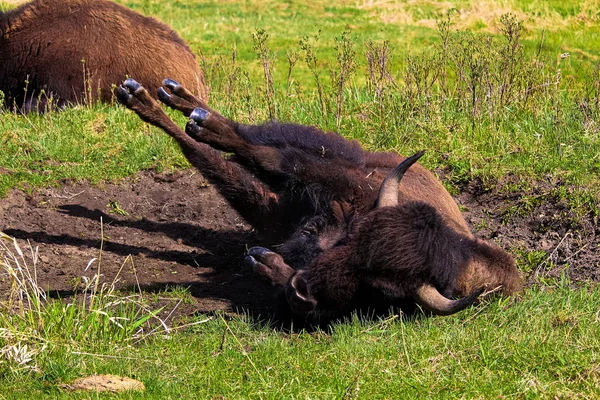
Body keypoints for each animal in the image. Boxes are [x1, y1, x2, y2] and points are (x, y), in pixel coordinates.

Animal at [116, 77, 520, 324]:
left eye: (381, 288)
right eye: (355, 239)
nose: (304, 286)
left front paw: (268, 265)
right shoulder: (336, 182)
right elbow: (275, 158)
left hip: (270, 208)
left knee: (210, 160)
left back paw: (151, 102)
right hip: (332, 157)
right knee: (257, 141)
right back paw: (182, 105)